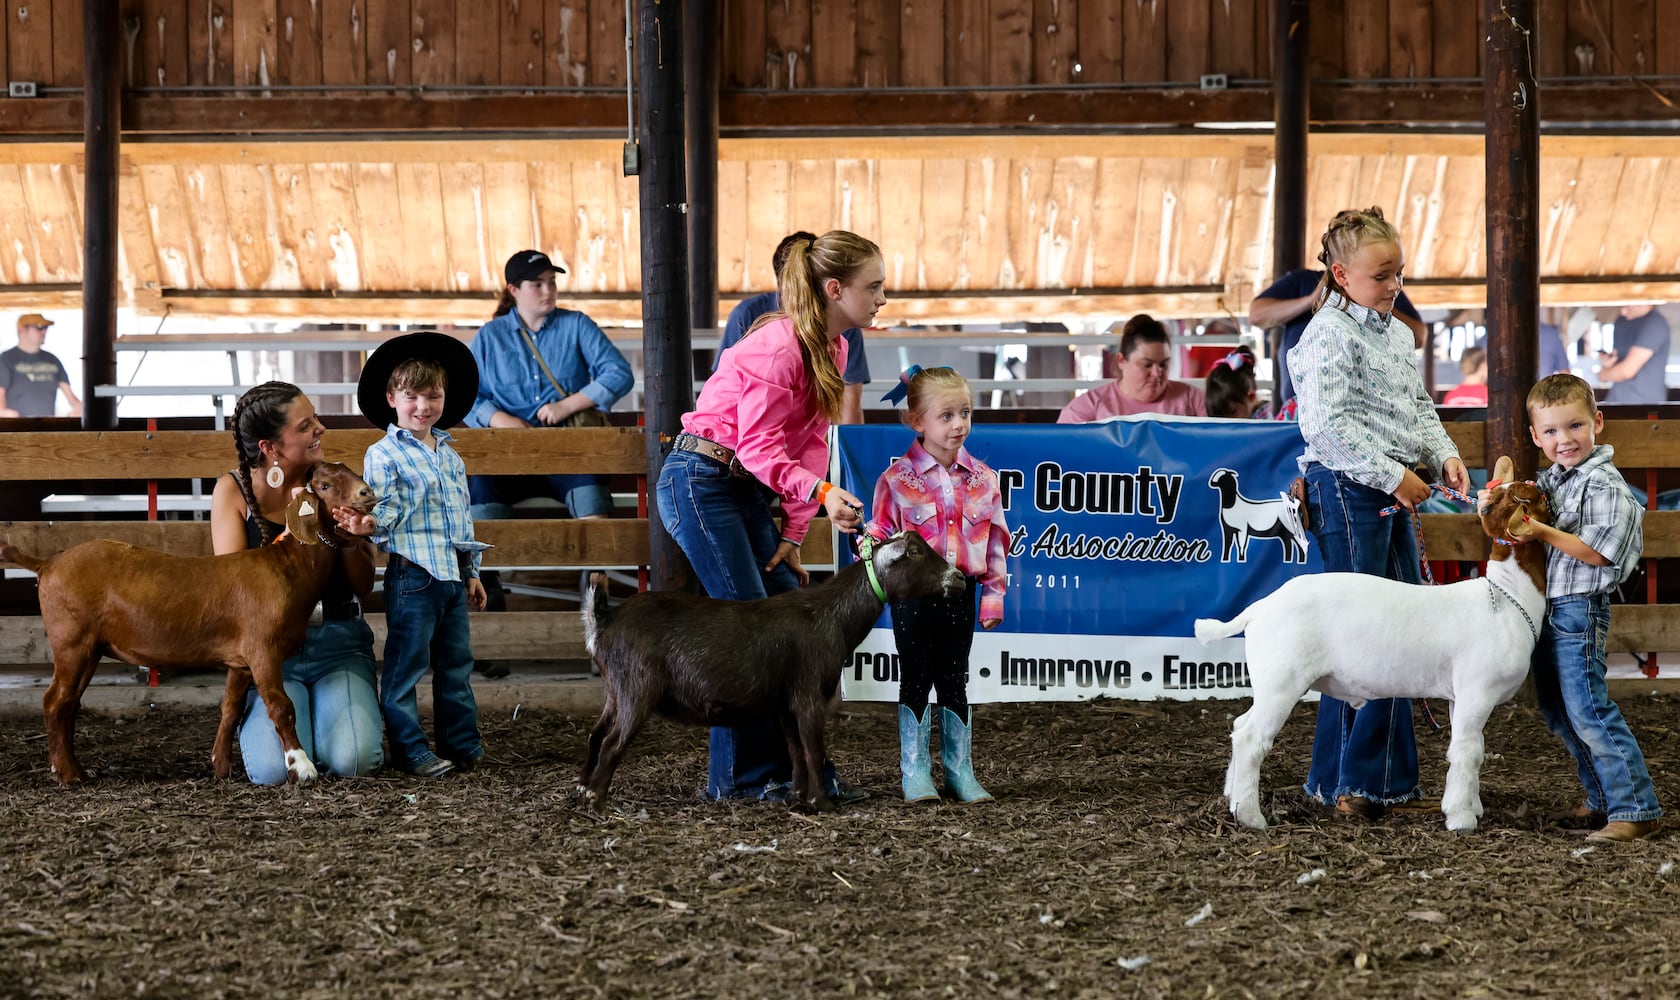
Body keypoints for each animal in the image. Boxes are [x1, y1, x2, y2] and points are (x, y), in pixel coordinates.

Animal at [0, 463, 374, 789]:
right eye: (324, 485)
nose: (366, 491)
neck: (287, 567)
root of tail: (48, 562)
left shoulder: (241, 660)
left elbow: (231, 708)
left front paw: (220, 766)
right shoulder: (262, 649)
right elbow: (281, 706)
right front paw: (303, 768)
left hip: (88, 649)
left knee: (70, 703)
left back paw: (76, 769)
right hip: (71, 641)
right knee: (55, 701)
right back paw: (66, 774)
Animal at [581, 531, 967, 813]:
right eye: (914, 552)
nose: (960, 578)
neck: (831, 617)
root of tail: (603, 620)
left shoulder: (784, 703)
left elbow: (795, 751)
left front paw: (797, 796)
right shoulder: (809, 694)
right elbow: (813, 749)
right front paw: (821, 803)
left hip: (615, 691)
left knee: (596, 734)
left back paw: (583, 788)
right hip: (637, 688)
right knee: (612, 742)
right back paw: (597, 802)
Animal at [1196, 460, 1545, 836]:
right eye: (1533, 497)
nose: (1541, 484)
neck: (1508, 595)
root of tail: (1259, 607)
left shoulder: (1460, 696)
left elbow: (1472, 747)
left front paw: (1472, 807)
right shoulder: (1477, 692)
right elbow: (1467, 753)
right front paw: (1461, 819)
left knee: (1239, 726)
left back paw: (1232, 797)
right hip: (1281, 680)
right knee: (1251, 739)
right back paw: (1251, 816)